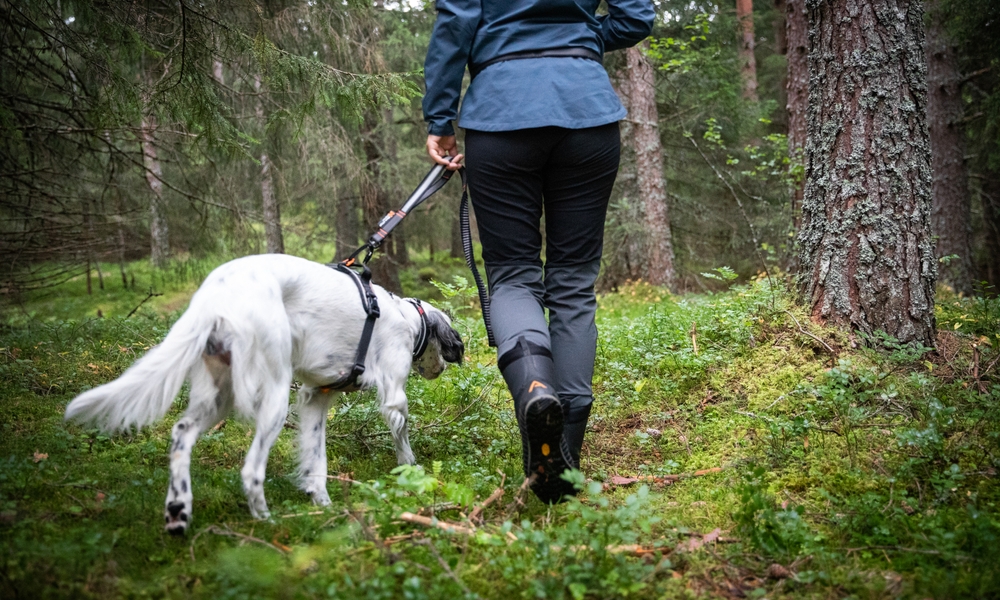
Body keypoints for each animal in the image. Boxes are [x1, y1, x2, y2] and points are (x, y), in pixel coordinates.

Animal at [64, 253, 462, 536]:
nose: (441, 368)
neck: (408, 317)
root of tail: (216, 291)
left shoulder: (315, 397)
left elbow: (316, 460)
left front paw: (323, 504)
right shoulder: (394, 395)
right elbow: (402, 441)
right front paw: (412, 475)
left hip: (218, 395)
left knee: (181, 435)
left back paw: (178, 510)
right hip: (273, 395)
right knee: (251, 469)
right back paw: (266, 520)